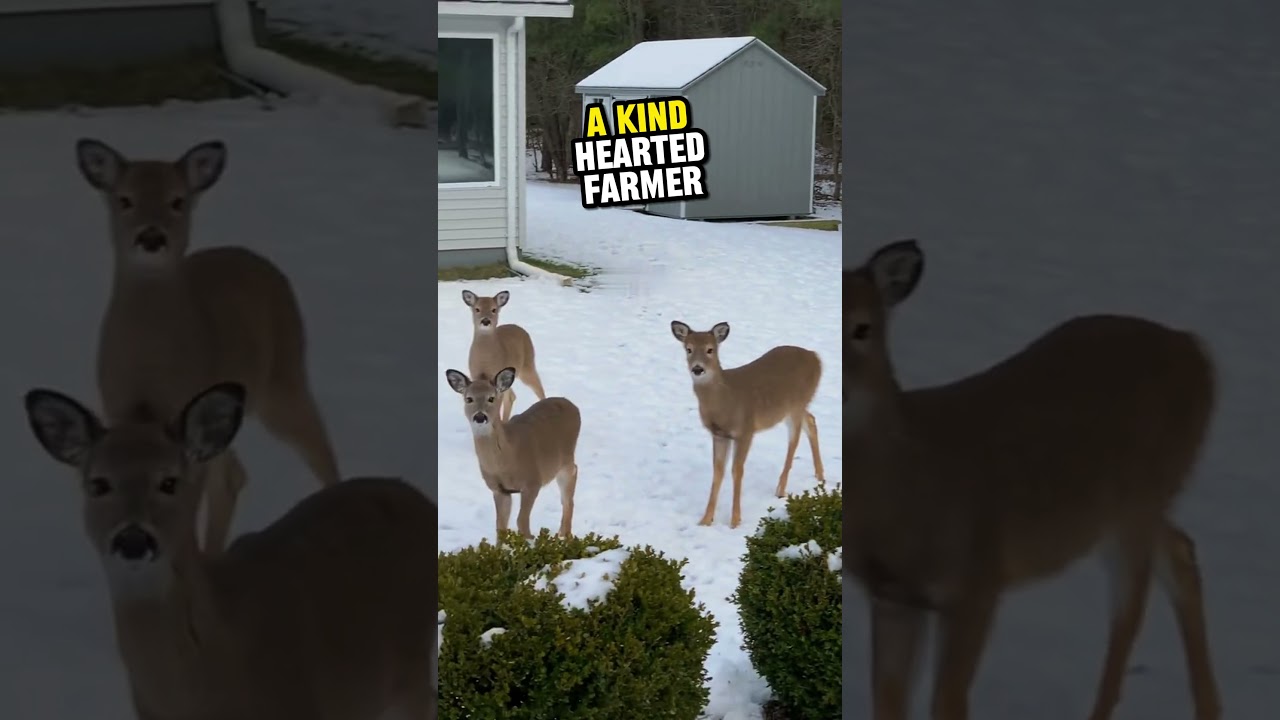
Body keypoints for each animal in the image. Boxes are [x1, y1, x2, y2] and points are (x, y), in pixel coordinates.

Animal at [75, 138, 341, 553]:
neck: (149, 363)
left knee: (319, 448)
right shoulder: (119, 411)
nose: (151, 237)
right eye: (124, 199)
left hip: (283, 375)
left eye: (177, 200)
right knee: (234, 474)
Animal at [445, 367, 580, 541]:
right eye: (469, 399)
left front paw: (530, 541)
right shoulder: (499, 490)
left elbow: (521, 521)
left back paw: (566, 535)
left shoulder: (532, 481)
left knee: (570, 488)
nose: (480, 416)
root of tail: (571, 404)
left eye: (491, 398)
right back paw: (561, 534)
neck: (506, 460)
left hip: (565, 460)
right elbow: (500, 527)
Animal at [461, 289, 546, 422]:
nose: (485, 321)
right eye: (477, 309)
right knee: (512, 396)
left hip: (527, 364)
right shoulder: (475, 376)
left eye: (494, 309)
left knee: (538, 387)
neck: (484, 360)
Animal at [669, 320, 825, 529]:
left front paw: (735, 521)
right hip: (791, 408)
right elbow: (718, 471)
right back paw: (820, 476)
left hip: (797, 404)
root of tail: (816, 357)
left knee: (794, 440)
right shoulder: (719, 434)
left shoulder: (745, 430)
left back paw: (781, 489)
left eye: (710, 349)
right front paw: (705, 520)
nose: (697, 369)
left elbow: (737, 470)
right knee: (811, 420)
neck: (724, 401)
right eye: (688, 349)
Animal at [842, 239, 1222, 720]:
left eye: (863, 328)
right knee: (1179, 552)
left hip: (1137, 499)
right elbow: (888, 702)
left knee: (1132, 607)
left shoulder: (977, 582)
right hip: (1134, 506)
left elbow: (947, 702)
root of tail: (1196, 350)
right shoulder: (894, 599)